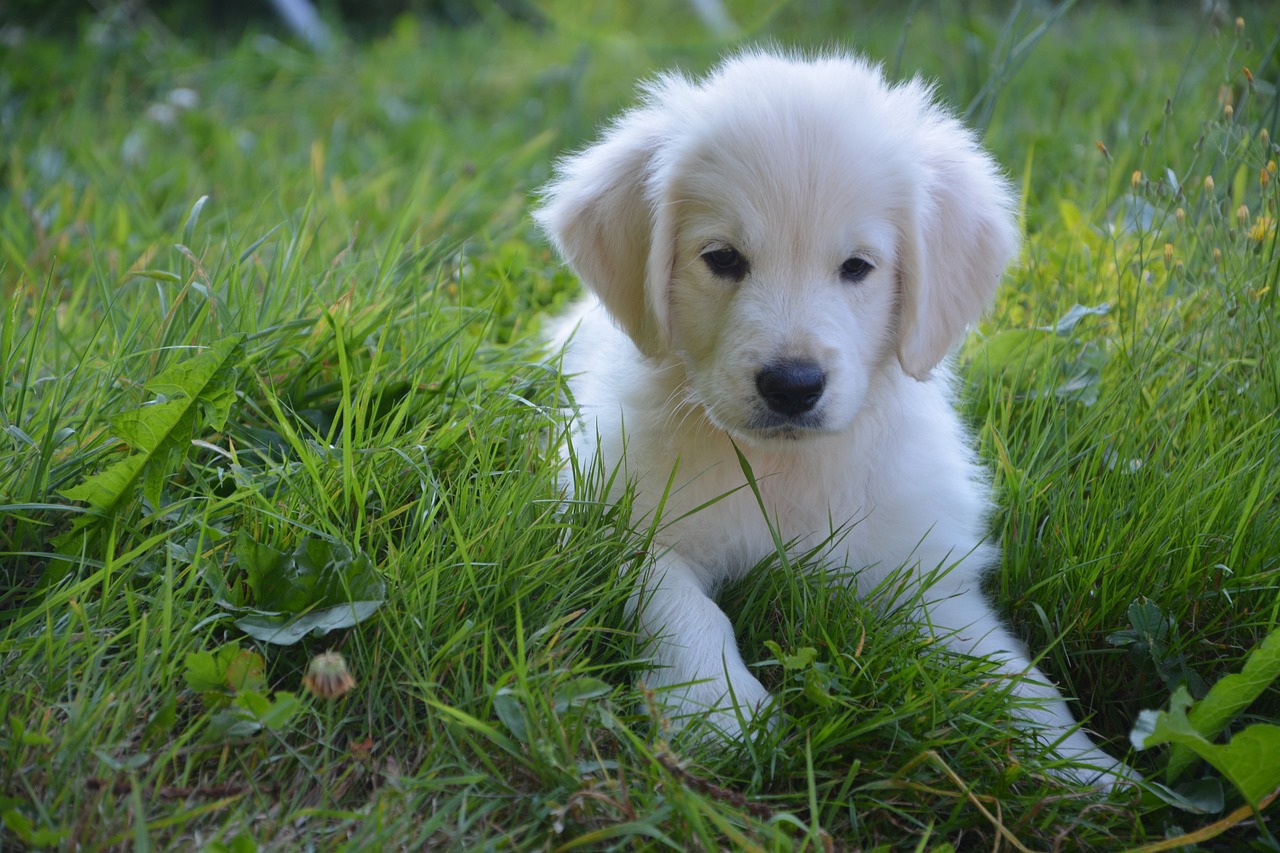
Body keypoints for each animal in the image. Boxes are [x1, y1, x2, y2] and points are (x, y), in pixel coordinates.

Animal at [535, 48, 1126, 783]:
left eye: (857, 267)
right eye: (722, 258)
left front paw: (1090, 770)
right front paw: (723, 711)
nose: (793, 385)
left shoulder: (923, 572)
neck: (783, 468)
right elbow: (682, 605)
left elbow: (1011, 672)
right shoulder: (615, 517)